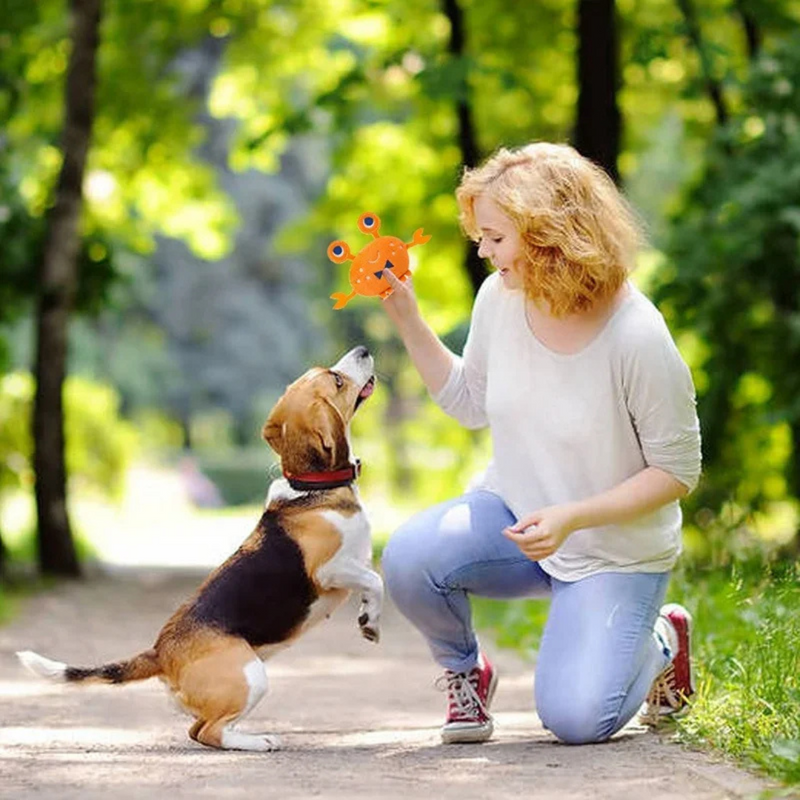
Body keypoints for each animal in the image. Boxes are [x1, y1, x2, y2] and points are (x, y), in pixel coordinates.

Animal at [14, 346, 384, 752]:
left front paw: (367, 618)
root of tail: (160, 651)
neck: (312, 487)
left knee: (198, 730)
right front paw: (371, 620)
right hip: (251, 676)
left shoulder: (353, 565)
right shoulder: (330, 570)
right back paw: (259, 741)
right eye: (336, 380)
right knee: (210, 732)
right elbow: (376, 579)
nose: (363, 350)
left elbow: (371, 583)